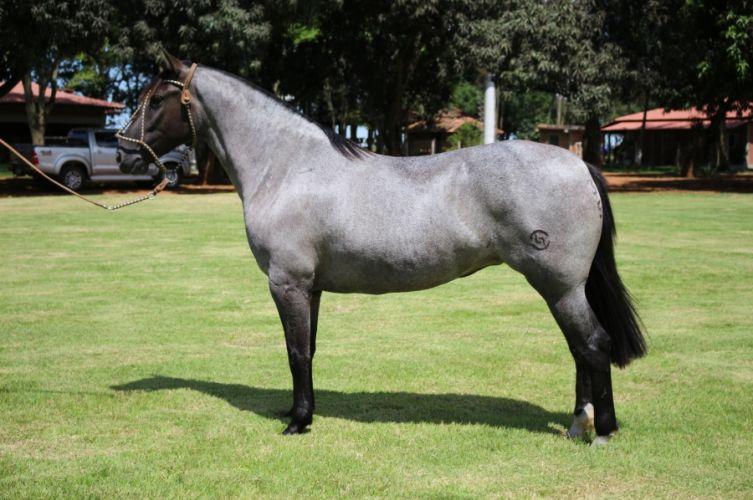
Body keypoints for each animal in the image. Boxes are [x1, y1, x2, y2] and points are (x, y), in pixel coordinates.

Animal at [119, 53, 648, 446]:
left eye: (159, 98)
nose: (124, 152)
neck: (287, 166)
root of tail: (579, 166)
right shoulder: (309, 287)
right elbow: (308, 349)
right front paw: (301, 412)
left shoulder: (287, 282)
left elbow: (295, 351)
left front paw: (297, 423)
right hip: (565, 288)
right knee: (580, 350)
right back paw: (577, 425)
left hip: (559, 285)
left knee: (592, 345)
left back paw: (601, 432)